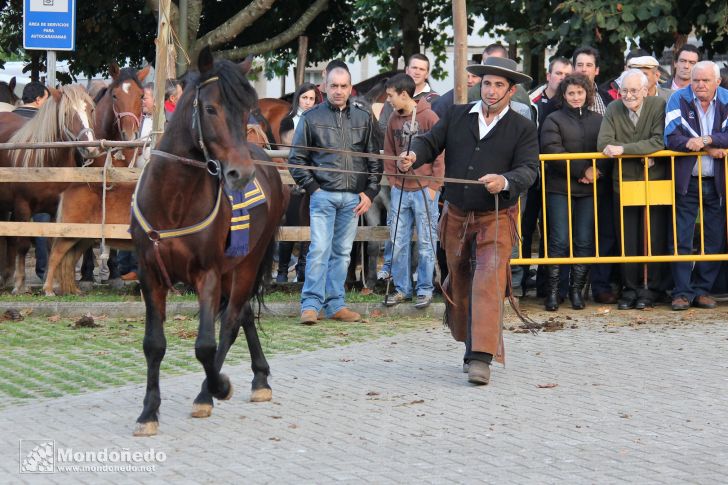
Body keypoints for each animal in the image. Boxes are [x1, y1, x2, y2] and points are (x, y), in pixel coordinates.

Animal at [129, 48, 288, 434]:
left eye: (246, 112)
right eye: (212, 109)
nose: (240, 173)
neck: (172, 199)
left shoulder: (208, 274)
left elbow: (205, 344)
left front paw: (217, 387)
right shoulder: (149, 274)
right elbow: (153, 344)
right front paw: (148, 412)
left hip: (247, 264)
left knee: (230, 321)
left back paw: (209, 390)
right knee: (242, 314)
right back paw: (260, 378)